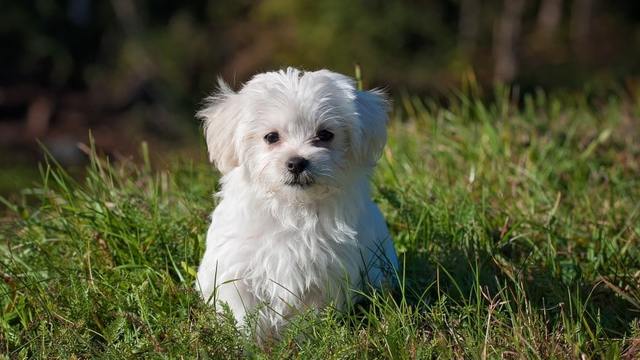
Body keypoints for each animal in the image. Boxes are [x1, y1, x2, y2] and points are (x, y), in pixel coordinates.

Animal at [195, 68, 398, 340]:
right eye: (271, 137)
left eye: (325, 135)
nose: (296, 162)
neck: (292, 208)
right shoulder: (237, 270)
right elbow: (244, 313)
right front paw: (249, 343)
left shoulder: (325, 275)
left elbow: (310, 315)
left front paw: (305, 339)